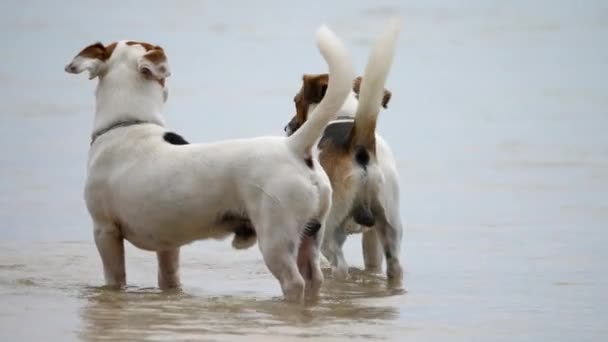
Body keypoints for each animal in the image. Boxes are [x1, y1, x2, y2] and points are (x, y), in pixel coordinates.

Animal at [64, 24, 354, 302]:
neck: (128, 124)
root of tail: (293, 147)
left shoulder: (105, 231)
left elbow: (115, 278)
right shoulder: (168, 245)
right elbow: (169, 279)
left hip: (277, 237)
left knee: (294, 282)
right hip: (312, 234)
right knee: (314, 278)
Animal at [284, 19, 404, 286]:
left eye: (296, 100)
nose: (287, 128)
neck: (345, 115)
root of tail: (358, 145)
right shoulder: (372, 239)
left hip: (329, 232)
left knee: (339, 266)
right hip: (389, 228)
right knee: (394, 267)